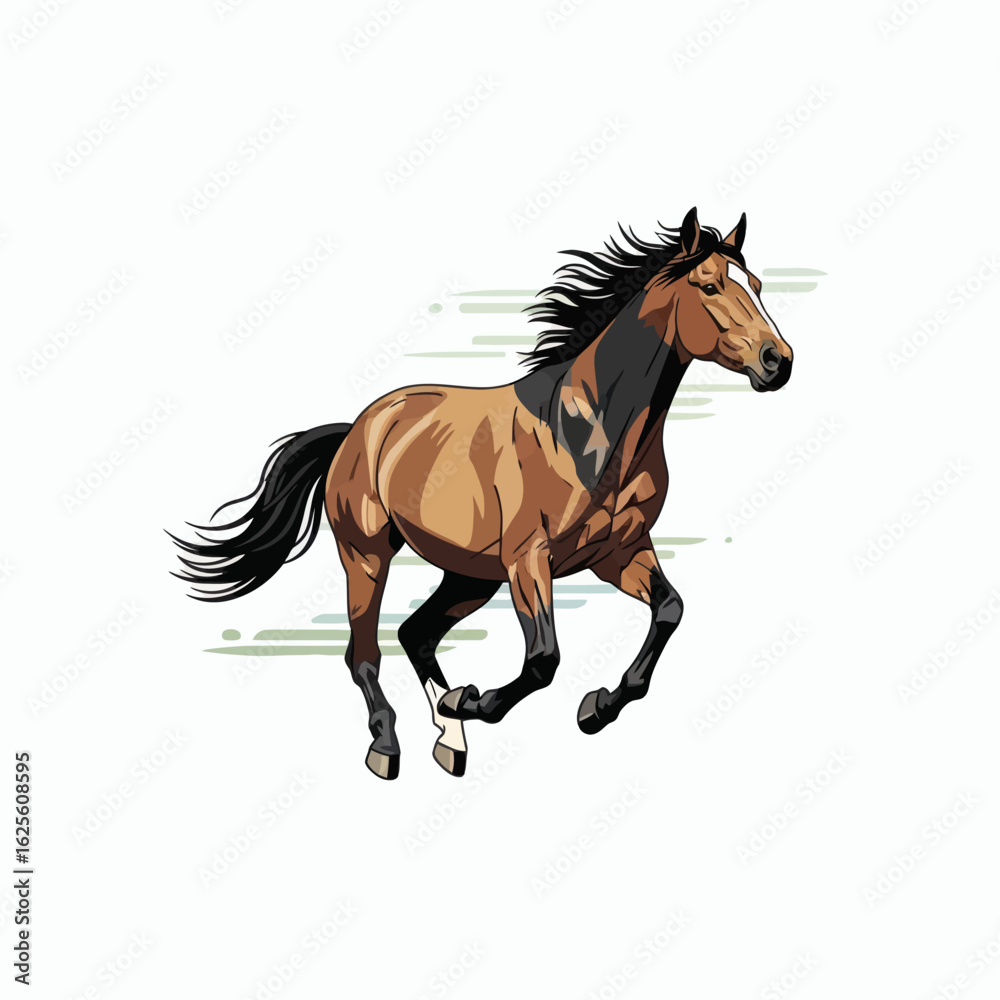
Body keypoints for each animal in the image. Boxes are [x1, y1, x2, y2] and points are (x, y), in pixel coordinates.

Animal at [171, 207, 793, 780]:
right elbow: (543, 659)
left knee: (416, 633)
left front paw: (595, 709)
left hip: (470, 573)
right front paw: (472, 700)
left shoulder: (618, 551)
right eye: (709, 286)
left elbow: (669, 610)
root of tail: (357, 428)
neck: (589, 432)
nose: (778, 362)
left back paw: (450, 740)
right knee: (365, 653)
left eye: (757, 286)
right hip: (367, 555)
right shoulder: (528, 560)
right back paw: (389, 745)